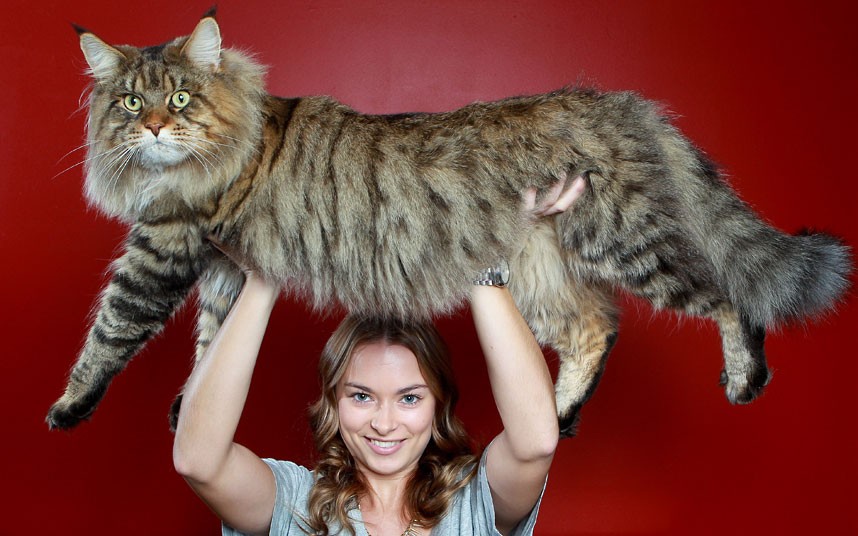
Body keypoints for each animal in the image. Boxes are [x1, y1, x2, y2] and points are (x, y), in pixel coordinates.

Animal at [46, 10, 848, 436]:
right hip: (539, 270)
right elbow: (209, 346)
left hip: (625, 241)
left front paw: (69, 405)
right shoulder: (219, 268)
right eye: (129, 102)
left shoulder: (164, 249)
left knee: (728, 297)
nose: (152, 126)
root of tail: (615, 102)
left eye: (179, 98)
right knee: (596, 326)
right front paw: (194, 408)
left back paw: (744, 378)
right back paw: (555, 415)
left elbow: (109, 332)